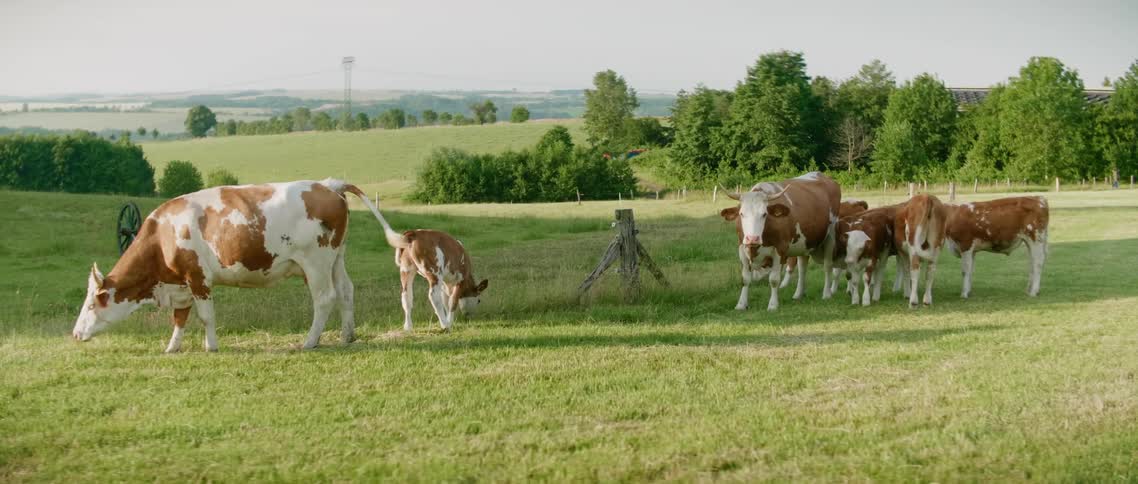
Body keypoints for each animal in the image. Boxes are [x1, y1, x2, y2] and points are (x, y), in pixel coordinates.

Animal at [71, 179, 398, 352]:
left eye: (90, 305)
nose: (75, 334)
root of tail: (328, 184)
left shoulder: (198, 278)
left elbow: (205, 316)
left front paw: (211, 347)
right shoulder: (181, 284)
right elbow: (180, 317)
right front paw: (172, 347)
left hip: (315, 263)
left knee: (325, 298)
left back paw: (309, 341)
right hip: (335, 259)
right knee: (345, 291)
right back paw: (346, 336)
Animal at [719, 172, 841, 311]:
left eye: (764, 214)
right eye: (741, 214)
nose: (752, 238)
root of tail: (821, 175)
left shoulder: (780, 250)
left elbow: (774, 279)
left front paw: (773, 305)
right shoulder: (742, 248)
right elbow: (745, 279)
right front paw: (741, 304)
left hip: (830, 237)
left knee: (827, 266)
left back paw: (826, 294)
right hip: (803, 243)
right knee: (802, 268)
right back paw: (798, 294)